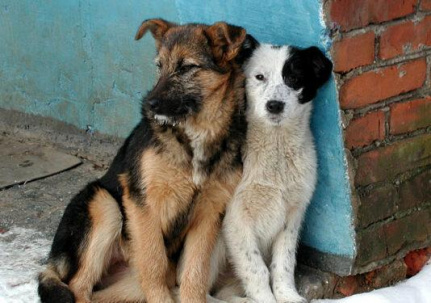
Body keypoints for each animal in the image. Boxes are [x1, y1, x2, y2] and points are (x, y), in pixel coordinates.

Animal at [38, 19, 334, 303]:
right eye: (159, 67)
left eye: (187, 67)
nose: (149, 105)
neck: (195, 137)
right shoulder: (149, 204)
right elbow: (159, 263)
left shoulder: (229, 213)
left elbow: (209, 271)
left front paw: (288, 296)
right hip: (105, 205)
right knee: (79, 286)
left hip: (129, 281)